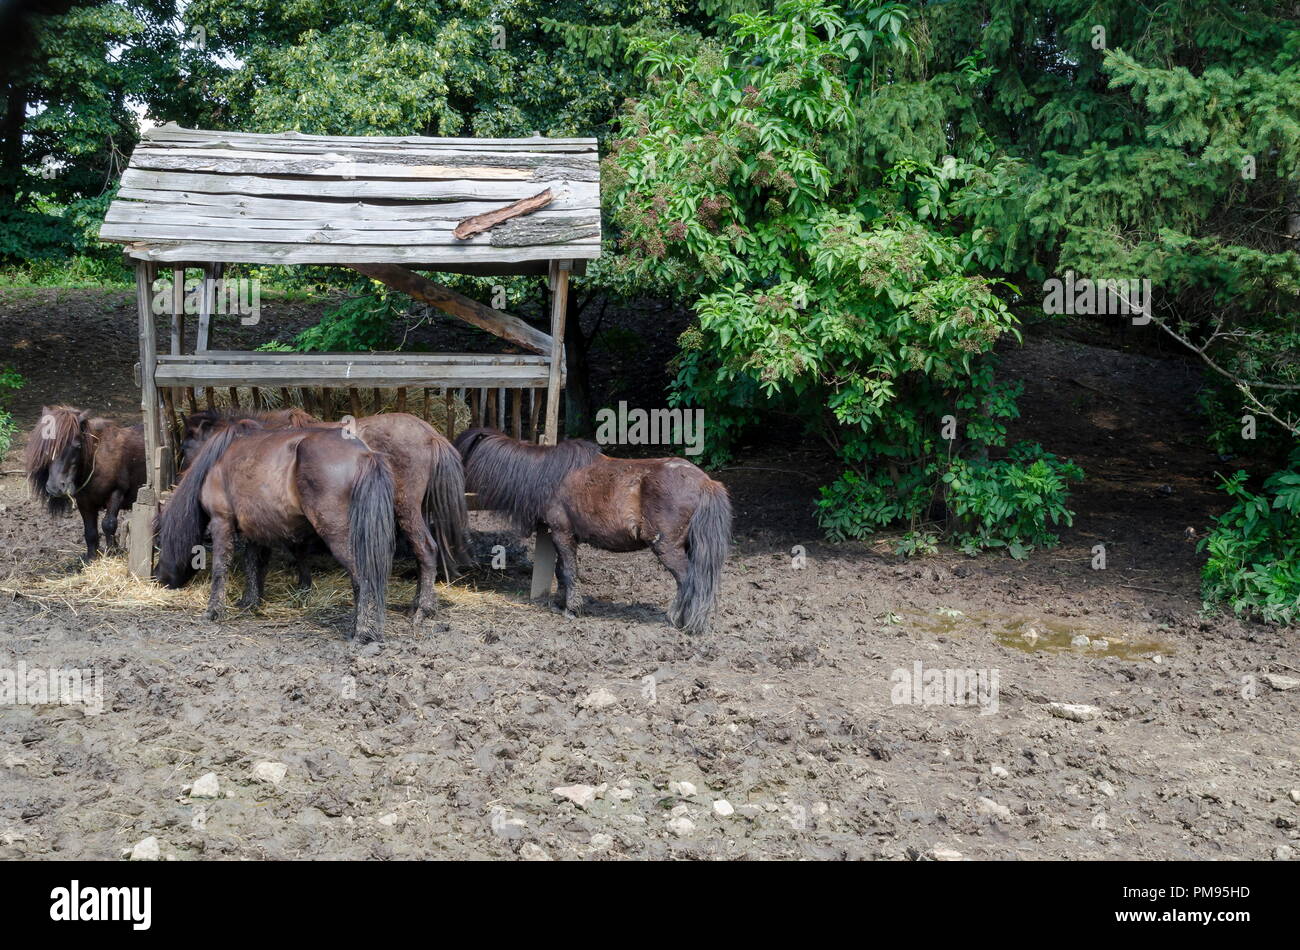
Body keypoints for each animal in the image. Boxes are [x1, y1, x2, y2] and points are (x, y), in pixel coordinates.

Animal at [23, 405, 147, 561]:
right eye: (46, 446)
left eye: (77, 446)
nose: (55, 487)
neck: (97, 461)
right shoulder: (84, 501)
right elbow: (90, 531)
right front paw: (91, 558)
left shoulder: (116, 493)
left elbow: (109, 524)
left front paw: (112, 552)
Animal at [156, 423, 395, 647]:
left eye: (158, 542)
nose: (159, 579)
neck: (217, 463)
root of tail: (364, 455)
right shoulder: (252, 529)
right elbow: (252, 563)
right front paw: (250, 602)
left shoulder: (221, 521)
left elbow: (220, 567)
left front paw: (214, 611)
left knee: (362, 579)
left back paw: (362, 633)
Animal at [179, 408, 467, 631]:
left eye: (185, 446)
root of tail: (429, 433)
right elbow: (262, 556)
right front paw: (253, 598)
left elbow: (286, 552)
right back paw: (418, 604)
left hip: (405, 507)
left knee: (426, 550)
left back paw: (422, 609)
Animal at [454, 426, 733, 634]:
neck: (546, 474)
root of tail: (706, 483)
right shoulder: (566, 536)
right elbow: (561, 571)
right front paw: (560, 604)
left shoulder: (561, 533)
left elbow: (568, 571)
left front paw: (571, 609)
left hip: (667, 548)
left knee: (687, 580)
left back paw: (677, 620)